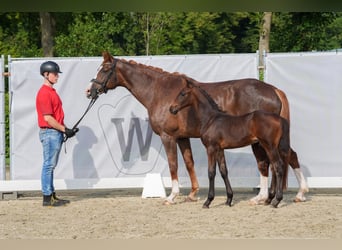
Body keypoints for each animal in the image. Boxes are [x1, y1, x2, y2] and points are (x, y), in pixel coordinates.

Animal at [87, 51, 308, 204]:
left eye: (105, 69)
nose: (90, 91)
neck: (159, 91)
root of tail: (274, 90)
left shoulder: (168, 137)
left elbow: (174, 165)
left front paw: (172, 196)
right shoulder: (183, 137)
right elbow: (189, 163)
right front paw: (193, 194)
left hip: (261, 142)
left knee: (268, 163)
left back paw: (268, 197)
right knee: (287, 157)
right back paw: (291, 195)